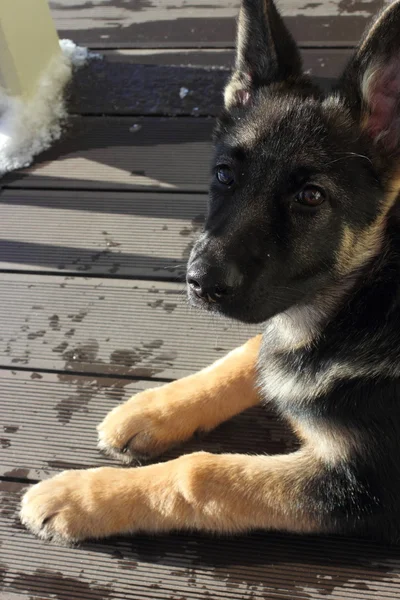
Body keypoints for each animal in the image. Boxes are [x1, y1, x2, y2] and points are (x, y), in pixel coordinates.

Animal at [21, 0, 400, 544]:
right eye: (224, 175)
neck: (366, 293)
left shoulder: (365, 485)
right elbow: (247, 355)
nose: (200, 283)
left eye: (311, 196)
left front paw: (80, 496)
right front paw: (153, 409)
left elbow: (200, 474)